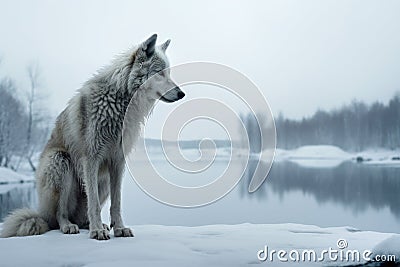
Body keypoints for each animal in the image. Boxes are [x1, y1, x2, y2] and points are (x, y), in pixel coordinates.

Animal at [0, 33, 184, 241]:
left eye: (168, 74)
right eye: (160, 73)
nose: (182, 93)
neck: (119, 102)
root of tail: (41, 213)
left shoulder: (117, 162)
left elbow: (116, 203)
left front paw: (119, 229)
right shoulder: (90, 159)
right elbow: (94, 204)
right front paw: (96, 231)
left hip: (103, 181)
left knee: (82, 214)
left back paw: (92, 224)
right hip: (60, 163)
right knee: (60, 214)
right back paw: (70, 226)